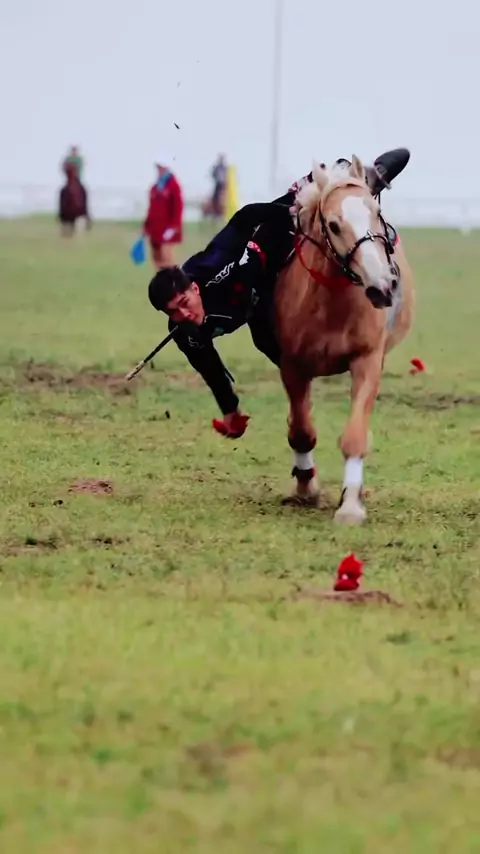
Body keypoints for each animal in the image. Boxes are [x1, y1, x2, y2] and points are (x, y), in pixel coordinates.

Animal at [274, 155, 415, 525]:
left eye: (376, 212)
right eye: (334, 225)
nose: (383, 286)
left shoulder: (368, 359)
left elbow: (355, 435)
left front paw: (351, 504)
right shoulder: (292, 366)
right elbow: (301, 431)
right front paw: (307, 488)